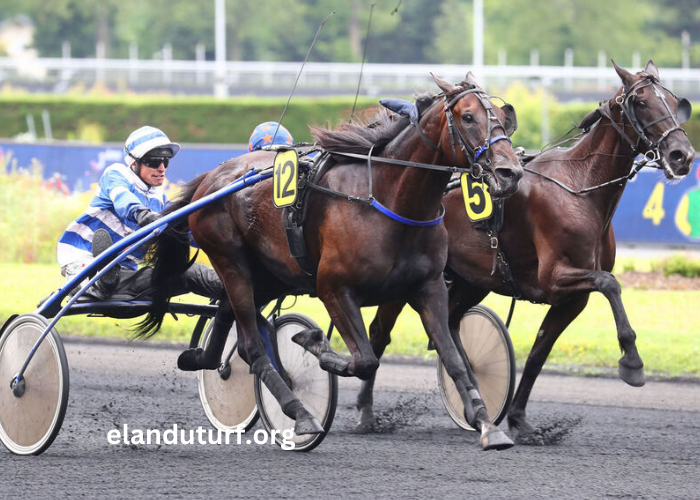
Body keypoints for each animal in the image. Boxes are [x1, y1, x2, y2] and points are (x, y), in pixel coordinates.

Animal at [137, 73, 524, 450]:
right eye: (468, 117)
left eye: (503, 117)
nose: (511, 172)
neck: (389, 200)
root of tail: (210, 179)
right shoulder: (333, 287)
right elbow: (364, 359)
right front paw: (313, 342)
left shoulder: (428, 287)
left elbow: (454, 359)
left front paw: (487, 425)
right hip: (231, 262)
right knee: (252, 346)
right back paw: (301, 414)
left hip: (270, 274)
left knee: (229, 319)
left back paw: (202, 359)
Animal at [360, 60, 696, 440]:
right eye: (641, 101)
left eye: (674, 101)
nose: (682, 155)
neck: (580, 187)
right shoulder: (555, 277)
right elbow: (610, 283)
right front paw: (632, 363)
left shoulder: (572, 298)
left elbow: (539, 353)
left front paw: (519, 419)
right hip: (408, 278)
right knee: (380, 332)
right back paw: (366, 412)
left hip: (470, 280)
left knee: (450, 321)